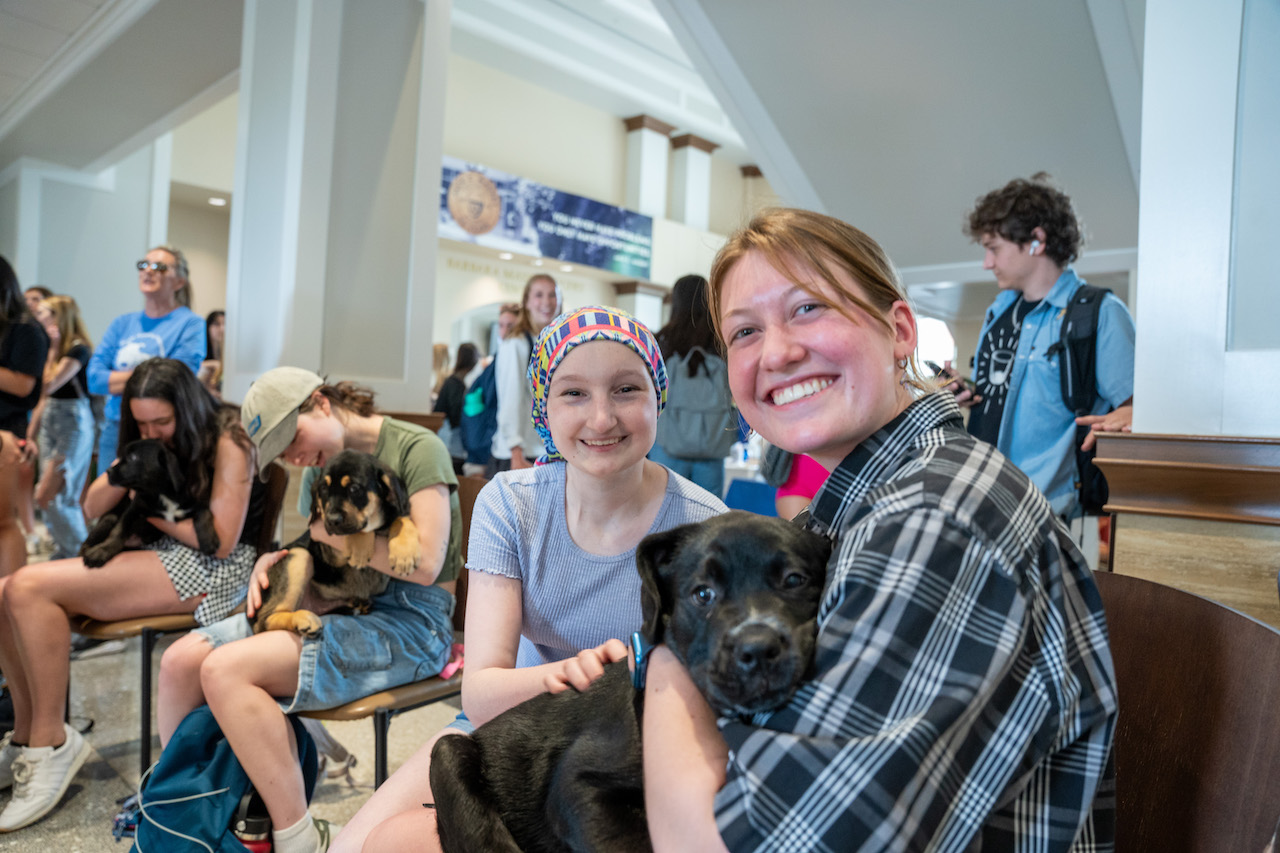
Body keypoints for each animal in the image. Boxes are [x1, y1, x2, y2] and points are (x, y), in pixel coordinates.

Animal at [81, 435, 220, 568]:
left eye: (133, 457)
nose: (108, 471)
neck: (162, 492)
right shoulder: (133, 509)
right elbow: (117, 532)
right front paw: (100, 552)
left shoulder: (198, 500)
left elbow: (204, 513)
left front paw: (208, 540)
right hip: (109, 519)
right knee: (84, 545)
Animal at [252, 448, 422, 635]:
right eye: (323, 489)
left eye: (354, 488)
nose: (332, 520)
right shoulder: (329, 550)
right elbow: (358, 530)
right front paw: (360, 549)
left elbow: (401, 519)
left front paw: (404, 555)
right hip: (298, 555)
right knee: (263, 622)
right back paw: (302, 618)